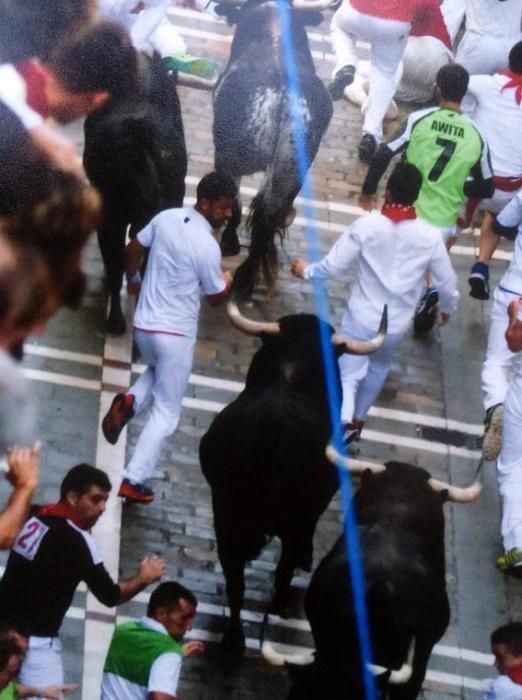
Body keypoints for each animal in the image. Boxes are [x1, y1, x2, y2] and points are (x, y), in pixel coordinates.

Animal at [197, 306, 384, 652]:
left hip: (225, 511)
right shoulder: (310, 511)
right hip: (292, 515)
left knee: (234, 578)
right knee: (280, 569)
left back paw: (234, 639)